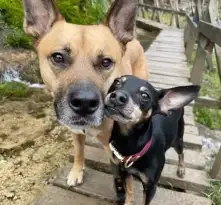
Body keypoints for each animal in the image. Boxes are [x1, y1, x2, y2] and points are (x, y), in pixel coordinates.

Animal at [21, 0, 148, 202]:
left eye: (106, 62)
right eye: (58, 57)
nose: (84, 103)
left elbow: (127, 183)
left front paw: (128, 200)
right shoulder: (75, 131)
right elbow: (79, 151)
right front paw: (77, 171)